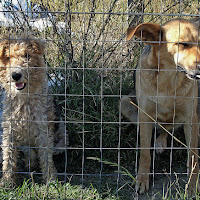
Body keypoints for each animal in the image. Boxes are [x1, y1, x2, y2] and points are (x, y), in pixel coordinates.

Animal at [0, 35, 64, 184]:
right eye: (8, 57)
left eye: (27, 55)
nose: (16, 75)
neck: (24, 97)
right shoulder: (9, 129)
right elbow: (8, 157)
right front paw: (7, 181)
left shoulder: (43, 129)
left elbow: (46, 157)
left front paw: (51, 180)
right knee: (30, 153)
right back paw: (30, 163)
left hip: (61, 141)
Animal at [121, 18, 200, 194]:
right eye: (182, 44)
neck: (169, 80)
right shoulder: (145, 116)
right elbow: (144, 153)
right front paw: (142, 180)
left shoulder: (191, 118)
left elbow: (193, 157)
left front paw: (192, 187)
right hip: (124, 102)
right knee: (162, 129)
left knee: (168, 130)